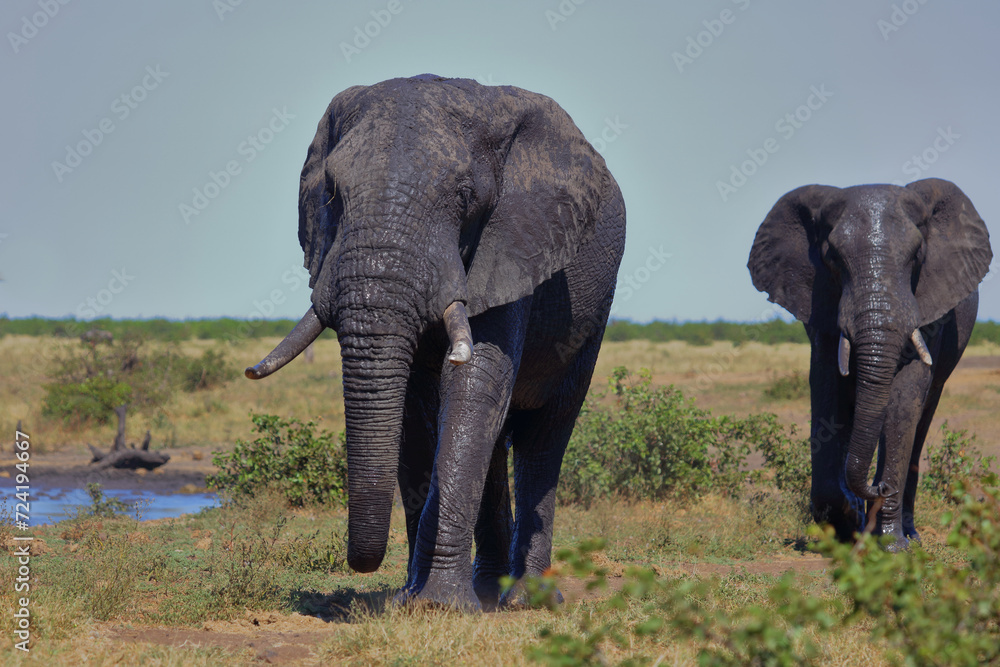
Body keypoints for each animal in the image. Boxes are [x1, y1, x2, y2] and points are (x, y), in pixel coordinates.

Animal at [245, 75, 626, 610]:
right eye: (332, 194)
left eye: (465, 195)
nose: (363, 564)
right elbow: (415, 407)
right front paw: (411, 598)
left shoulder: (514, 242)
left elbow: (473, 382)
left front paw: (439, 604)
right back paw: (489, 590)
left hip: (592, 319)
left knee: (543, 438)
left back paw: (524, 599)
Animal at [748, 179, 991, 550]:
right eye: (832, 256)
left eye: (917, 255)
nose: (879, 487)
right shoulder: (821, 302)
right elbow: (827, 387)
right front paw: (848, 522)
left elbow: (904, 397)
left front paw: (891, 546)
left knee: (922, 418)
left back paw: (910, 533)